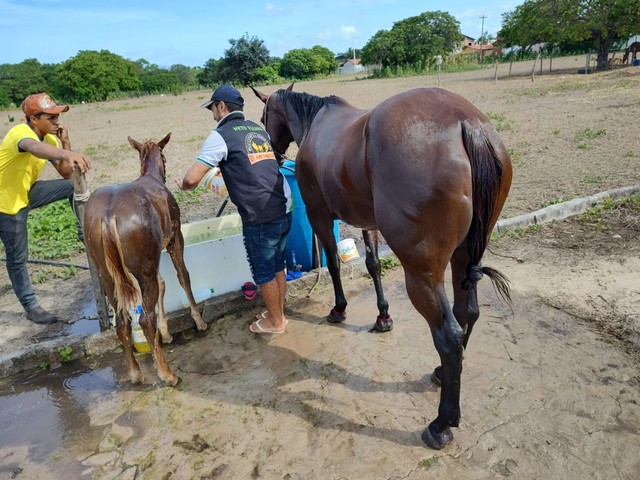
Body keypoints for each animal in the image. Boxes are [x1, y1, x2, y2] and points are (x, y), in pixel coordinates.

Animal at [84, 134, 206, 386]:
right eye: (165, 157)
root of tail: (108, 217)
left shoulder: (156, 250)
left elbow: (163, 284)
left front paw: (166, 333)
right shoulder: (174, 237)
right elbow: (182, 276)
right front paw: (198, 321)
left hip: (107, 273)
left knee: (123, 321)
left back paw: (134, 372)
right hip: (144, 268)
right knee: (144, 319)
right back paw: (167, 374)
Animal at [252, 85, 512, 450]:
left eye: (264, 117)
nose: (273, 154)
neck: (317, 122)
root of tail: (467, 124)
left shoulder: (320, 216)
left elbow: (334, 264)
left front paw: (339, 308)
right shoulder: (367, 220)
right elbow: (373, 264)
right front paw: (382, 316)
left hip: (422, 275)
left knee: (448, 335)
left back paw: (441, 423)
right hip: (463, 258)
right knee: (467, 313)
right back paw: (441, 374)